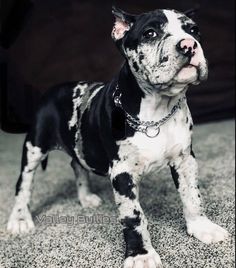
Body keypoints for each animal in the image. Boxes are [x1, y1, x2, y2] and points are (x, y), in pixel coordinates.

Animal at [7, 7, 229, 266]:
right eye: (150, 33)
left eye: (194, 30)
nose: (188, 45)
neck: (157, 110)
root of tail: (53, 91)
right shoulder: (123, 173)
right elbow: (133, 217)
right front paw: (141, 255)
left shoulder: (185, 160)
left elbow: (192, 196)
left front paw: (202, 227)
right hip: (35, 146)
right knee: (24, 183)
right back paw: (20, 219)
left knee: (77, 163)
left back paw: (86, 197)